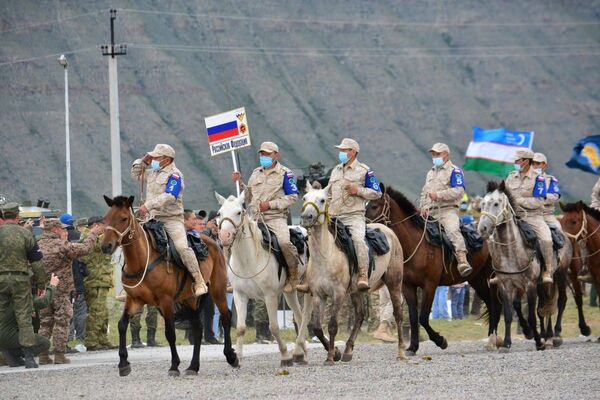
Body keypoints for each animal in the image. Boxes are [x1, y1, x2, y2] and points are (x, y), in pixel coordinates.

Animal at [99, 195, 238, 376]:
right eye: (105, 218)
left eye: (123, 218)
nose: (106, 246)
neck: (143, 260)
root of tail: (213, 242)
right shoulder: (134, 299)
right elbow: (122, 325)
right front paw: (123, 363)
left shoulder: (166, 301)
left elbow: (170, 332)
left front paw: (174, 365)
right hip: (190, 299)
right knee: (198, 328)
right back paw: (193, 366)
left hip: (218, 289)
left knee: (226, 317)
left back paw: (231, 356)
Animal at [216, 192, 308, 368]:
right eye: (219, 213)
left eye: (239, 212)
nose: (224, 237)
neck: (249, 259)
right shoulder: (239, 295)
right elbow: (240, 328)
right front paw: (237, 359)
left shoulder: (270, 296)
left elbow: (274, 327)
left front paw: (285, 356)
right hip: (290, 291)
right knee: (299, 315)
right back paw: (301, 353)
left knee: (308, 314)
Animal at [292, 183, 406, 364]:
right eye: (304, 198)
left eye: (322, 200)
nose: (307, 217)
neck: (326, 256)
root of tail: (388, 231)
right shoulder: (318, 295)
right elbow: (317, 328)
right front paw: (336, 352)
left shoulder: (338, 294)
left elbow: (332, 326)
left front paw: (330, 357)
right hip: (357, 291)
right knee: (359, 316)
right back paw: (348, 351)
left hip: (394, 283)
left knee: (399, 314)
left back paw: (401, 351)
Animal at [364, 184, 500, 356]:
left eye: (374, 206)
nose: (363, 227)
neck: (415, 244)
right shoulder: (407, 286)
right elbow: (414, 317)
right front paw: (412, 347)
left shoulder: (430, 285)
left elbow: (423, 317)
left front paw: (441, 341)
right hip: (477, 279)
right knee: (490, 304)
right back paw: (491, 340)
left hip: (491, 277)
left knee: (495, 304)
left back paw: (495, 340)